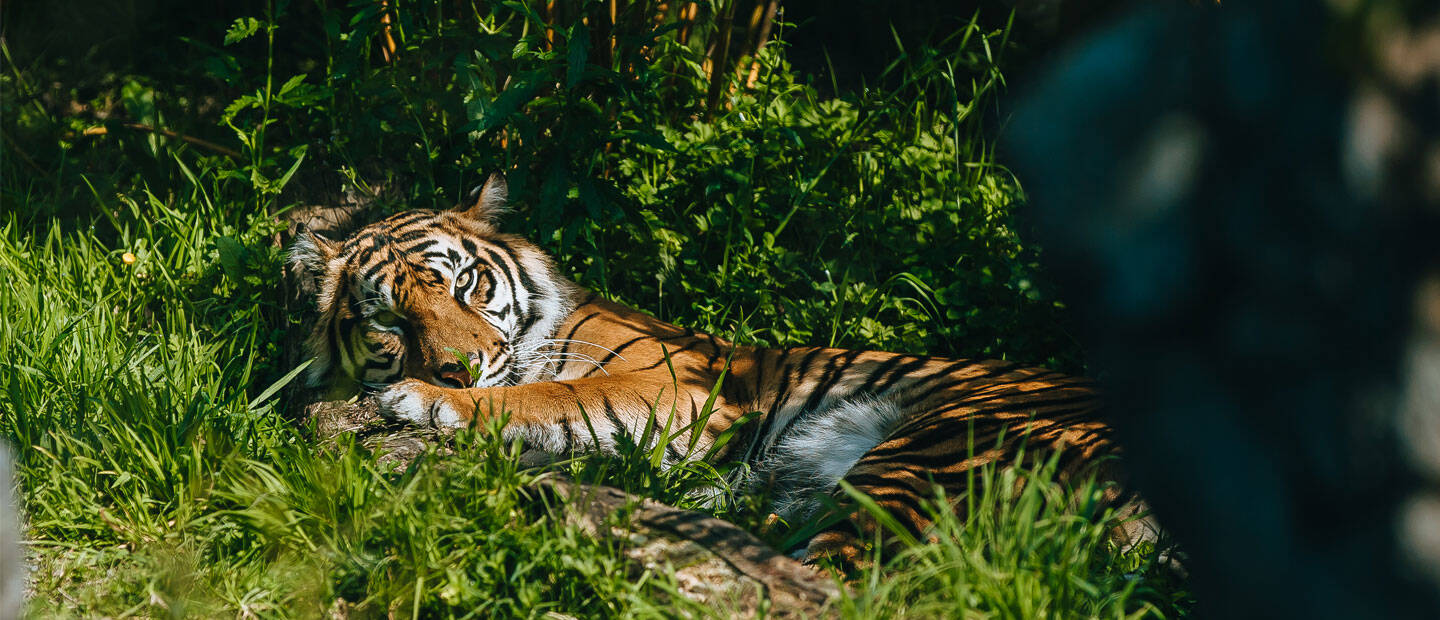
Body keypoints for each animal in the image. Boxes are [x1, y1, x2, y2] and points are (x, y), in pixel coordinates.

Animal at [288, 173, 1143, 565]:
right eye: (391, 321)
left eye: (463, 284)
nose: (458, 372)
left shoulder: (676, 384)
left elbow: (556, 393)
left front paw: (423, 401)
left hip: (937, 445)